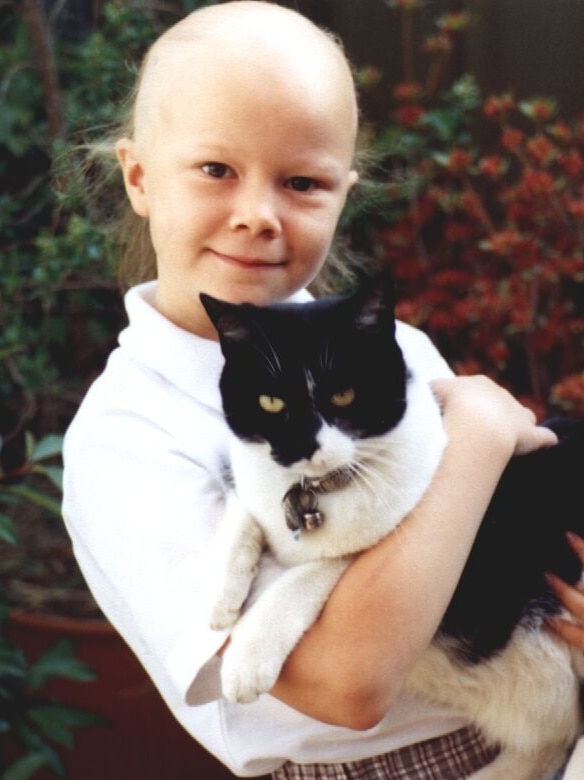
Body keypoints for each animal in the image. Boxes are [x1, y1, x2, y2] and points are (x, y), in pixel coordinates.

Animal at [200, 276, 584, 780]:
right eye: (270, 402)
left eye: (344, 395)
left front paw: (248, 655)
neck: (316, 490)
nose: (304, 447)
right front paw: (219, 595)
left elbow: (323, 566)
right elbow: (242, 508)